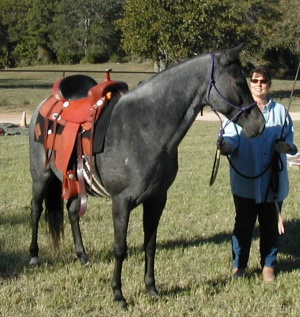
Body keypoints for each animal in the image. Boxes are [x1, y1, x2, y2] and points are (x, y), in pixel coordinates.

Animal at [28, 45, 264, 306]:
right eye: (238, 82)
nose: (259, 124)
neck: (144, 128)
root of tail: (45, 105)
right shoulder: (121, 202)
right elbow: (120, 248)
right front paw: (118, 294)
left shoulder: (157, 199)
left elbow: (150, 245)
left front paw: (151, 288)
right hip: (41, 177)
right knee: (36, 211)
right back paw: (34, 256)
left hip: (77, 183)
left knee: (71, 212)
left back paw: (83, 257)